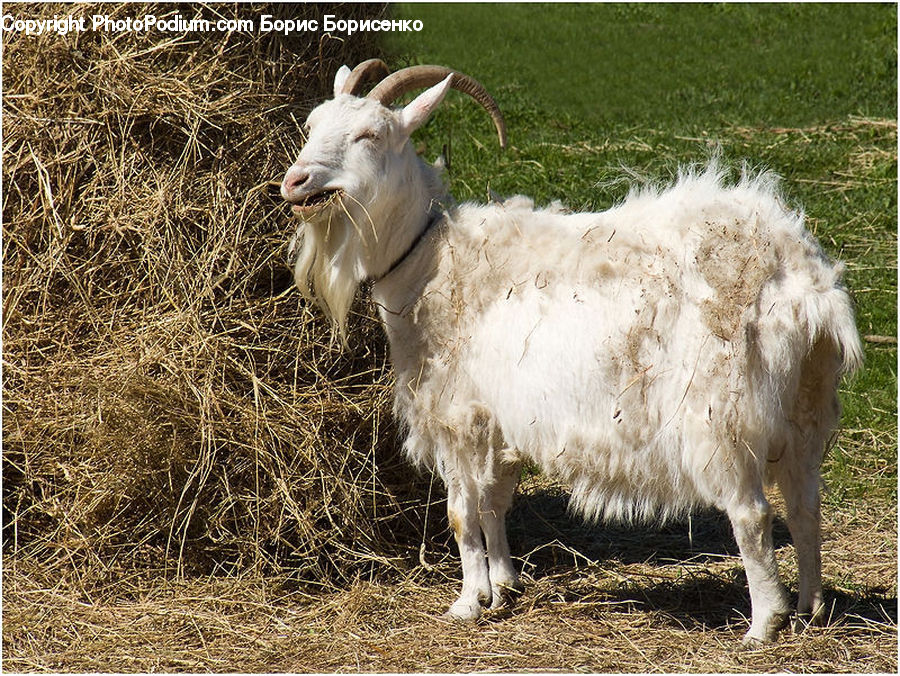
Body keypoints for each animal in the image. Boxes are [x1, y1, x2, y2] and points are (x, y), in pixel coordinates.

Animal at [280, 59, 863, 643]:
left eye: (369, 135)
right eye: (311, 125)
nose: (294, 181)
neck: (430, 257)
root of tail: (802, 283)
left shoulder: (458, 414)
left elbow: (463, 512)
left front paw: (468, 603)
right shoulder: (501, 419)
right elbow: (495, 501)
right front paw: (503, 587)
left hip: (721, 413)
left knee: (751, 513)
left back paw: (764, 623)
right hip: (805, 404)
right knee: (805, 505)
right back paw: (812, 606)